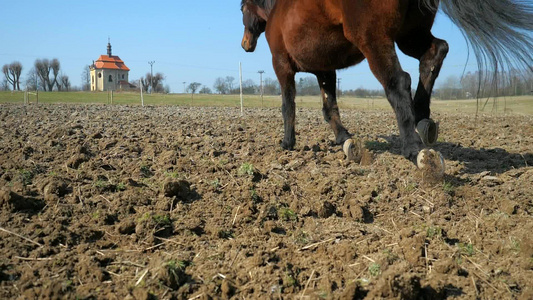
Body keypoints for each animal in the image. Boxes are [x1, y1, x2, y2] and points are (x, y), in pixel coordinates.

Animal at [241, 0, 532, 164]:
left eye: (242, 8)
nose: (245, 45)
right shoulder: (326, 69)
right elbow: (329, 106)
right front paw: (343, 138)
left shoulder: (282, 65)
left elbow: (288, 105)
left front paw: (287, 143)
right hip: (409, 34)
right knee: (435, 52)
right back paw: (422, 119)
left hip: (375, 39)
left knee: (399, 82)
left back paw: (413, 149)